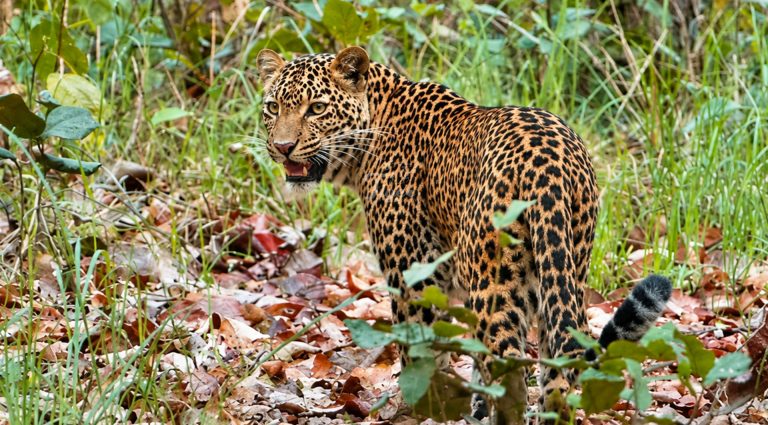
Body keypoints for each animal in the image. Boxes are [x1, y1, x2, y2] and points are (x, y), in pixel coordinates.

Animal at [254, 46, 672, 424]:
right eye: (273, 107)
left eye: (316, 108)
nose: (282, 147)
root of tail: (549, 165)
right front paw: (470, 409)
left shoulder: (414, 274)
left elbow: (422, 352)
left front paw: (426, 409)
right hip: (564, 268)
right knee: (557, 369)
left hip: (495, 283)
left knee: (512, 372)